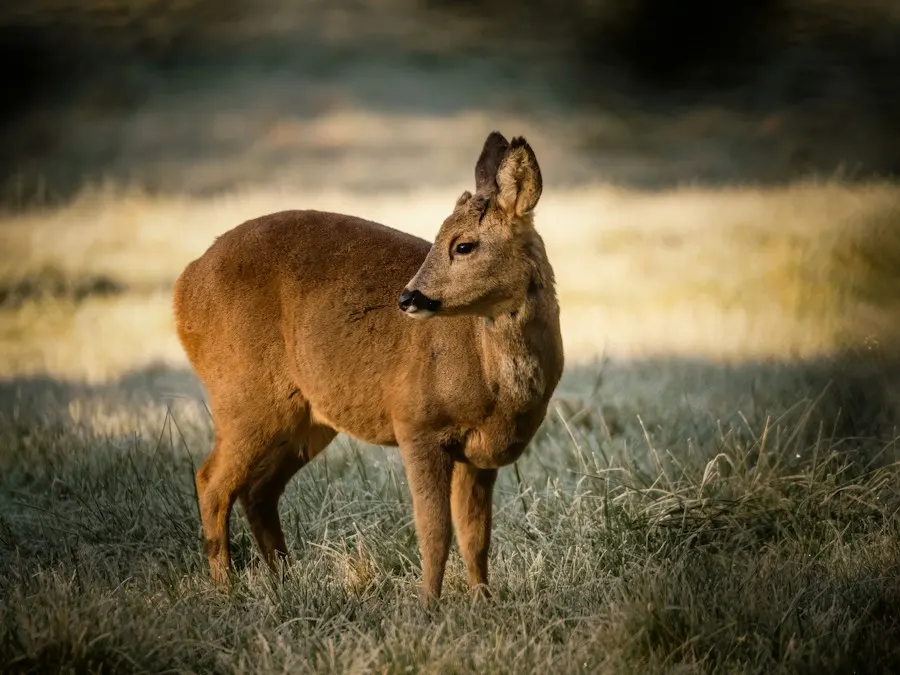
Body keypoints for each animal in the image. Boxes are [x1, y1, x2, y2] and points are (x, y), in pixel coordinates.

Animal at [172, 131, 564, 605]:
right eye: (438, 238)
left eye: (463, 244)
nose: (408, 298)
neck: (491, 379)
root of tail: (182, 287)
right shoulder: (416, 423)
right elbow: (434, 531)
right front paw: (429, 607)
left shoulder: (480, 453)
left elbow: (476, 536)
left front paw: (483, 602)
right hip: (243, 395)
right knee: (211, 481)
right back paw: (226, 589)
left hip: (306, 419)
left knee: (258, 490)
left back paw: (287, 582)